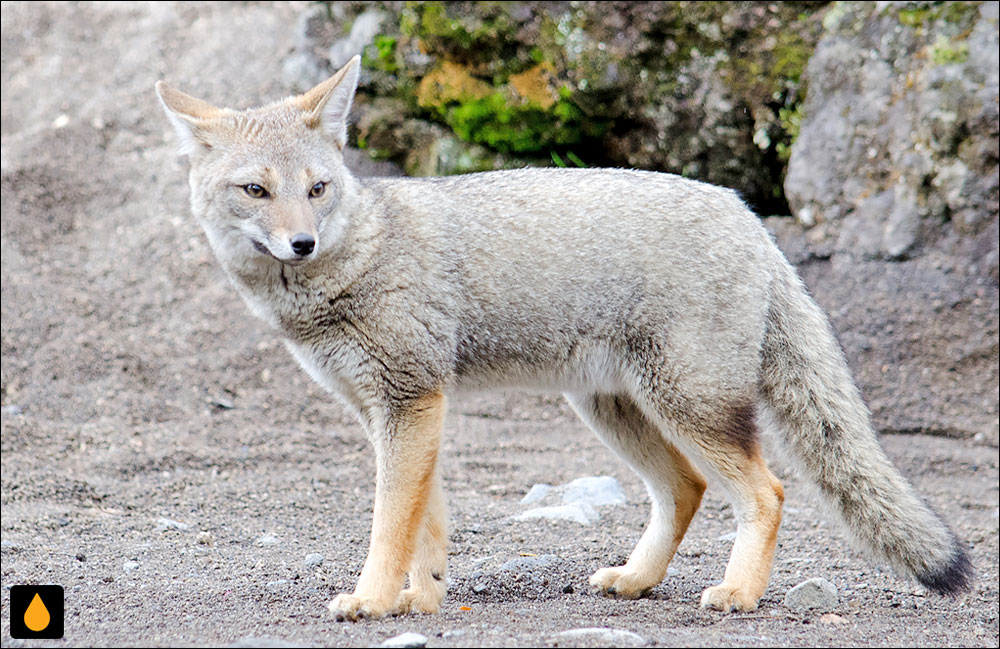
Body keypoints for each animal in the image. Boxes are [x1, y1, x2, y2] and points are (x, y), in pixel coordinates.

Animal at [154, 55, 968, 616]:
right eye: (256, 190)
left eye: (317, 189)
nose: (302, 244)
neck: (359, 255)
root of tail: (744, 213)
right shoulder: (399, 410)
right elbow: (425, 521)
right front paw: (423, 599)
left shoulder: (410, 401)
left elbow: (390, 524)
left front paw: (374, 600)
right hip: (617, 411)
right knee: (688, 487)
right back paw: (638, 579)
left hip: (690, 407)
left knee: (764, 491)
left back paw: (738, 592)